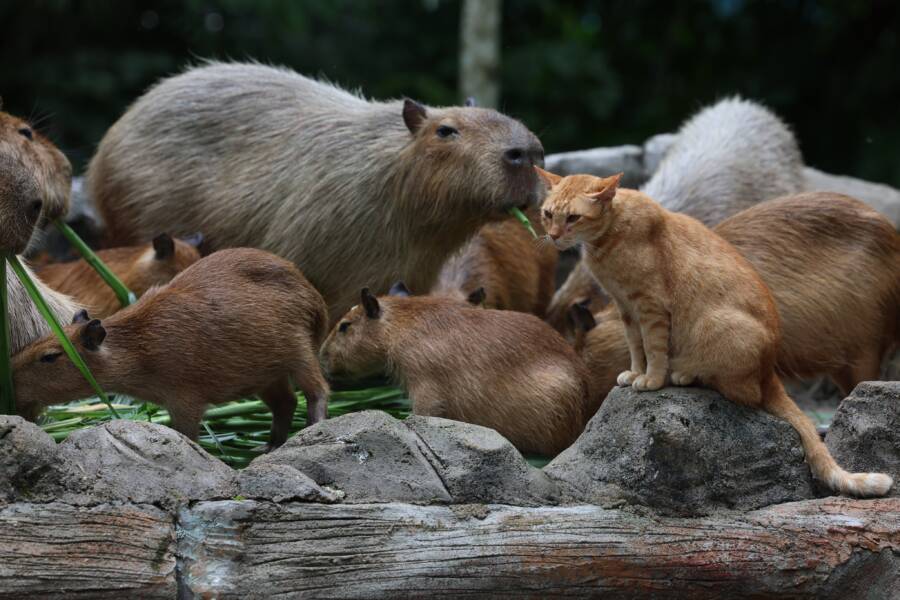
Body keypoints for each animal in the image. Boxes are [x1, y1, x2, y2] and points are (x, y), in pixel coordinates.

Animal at [536, 168, 888, 496]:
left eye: (573, 217)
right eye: (548, 214)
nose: (552, 236)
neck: (606, 241)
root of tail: (769, 370)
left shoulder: (650, 307)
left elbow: (653, 349)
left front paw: (651, 380)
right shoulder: (627, 310)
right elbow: (636, 348)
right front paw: (635, 374)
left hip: (718, 327)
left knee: (748, 394)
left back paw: (685, 374)